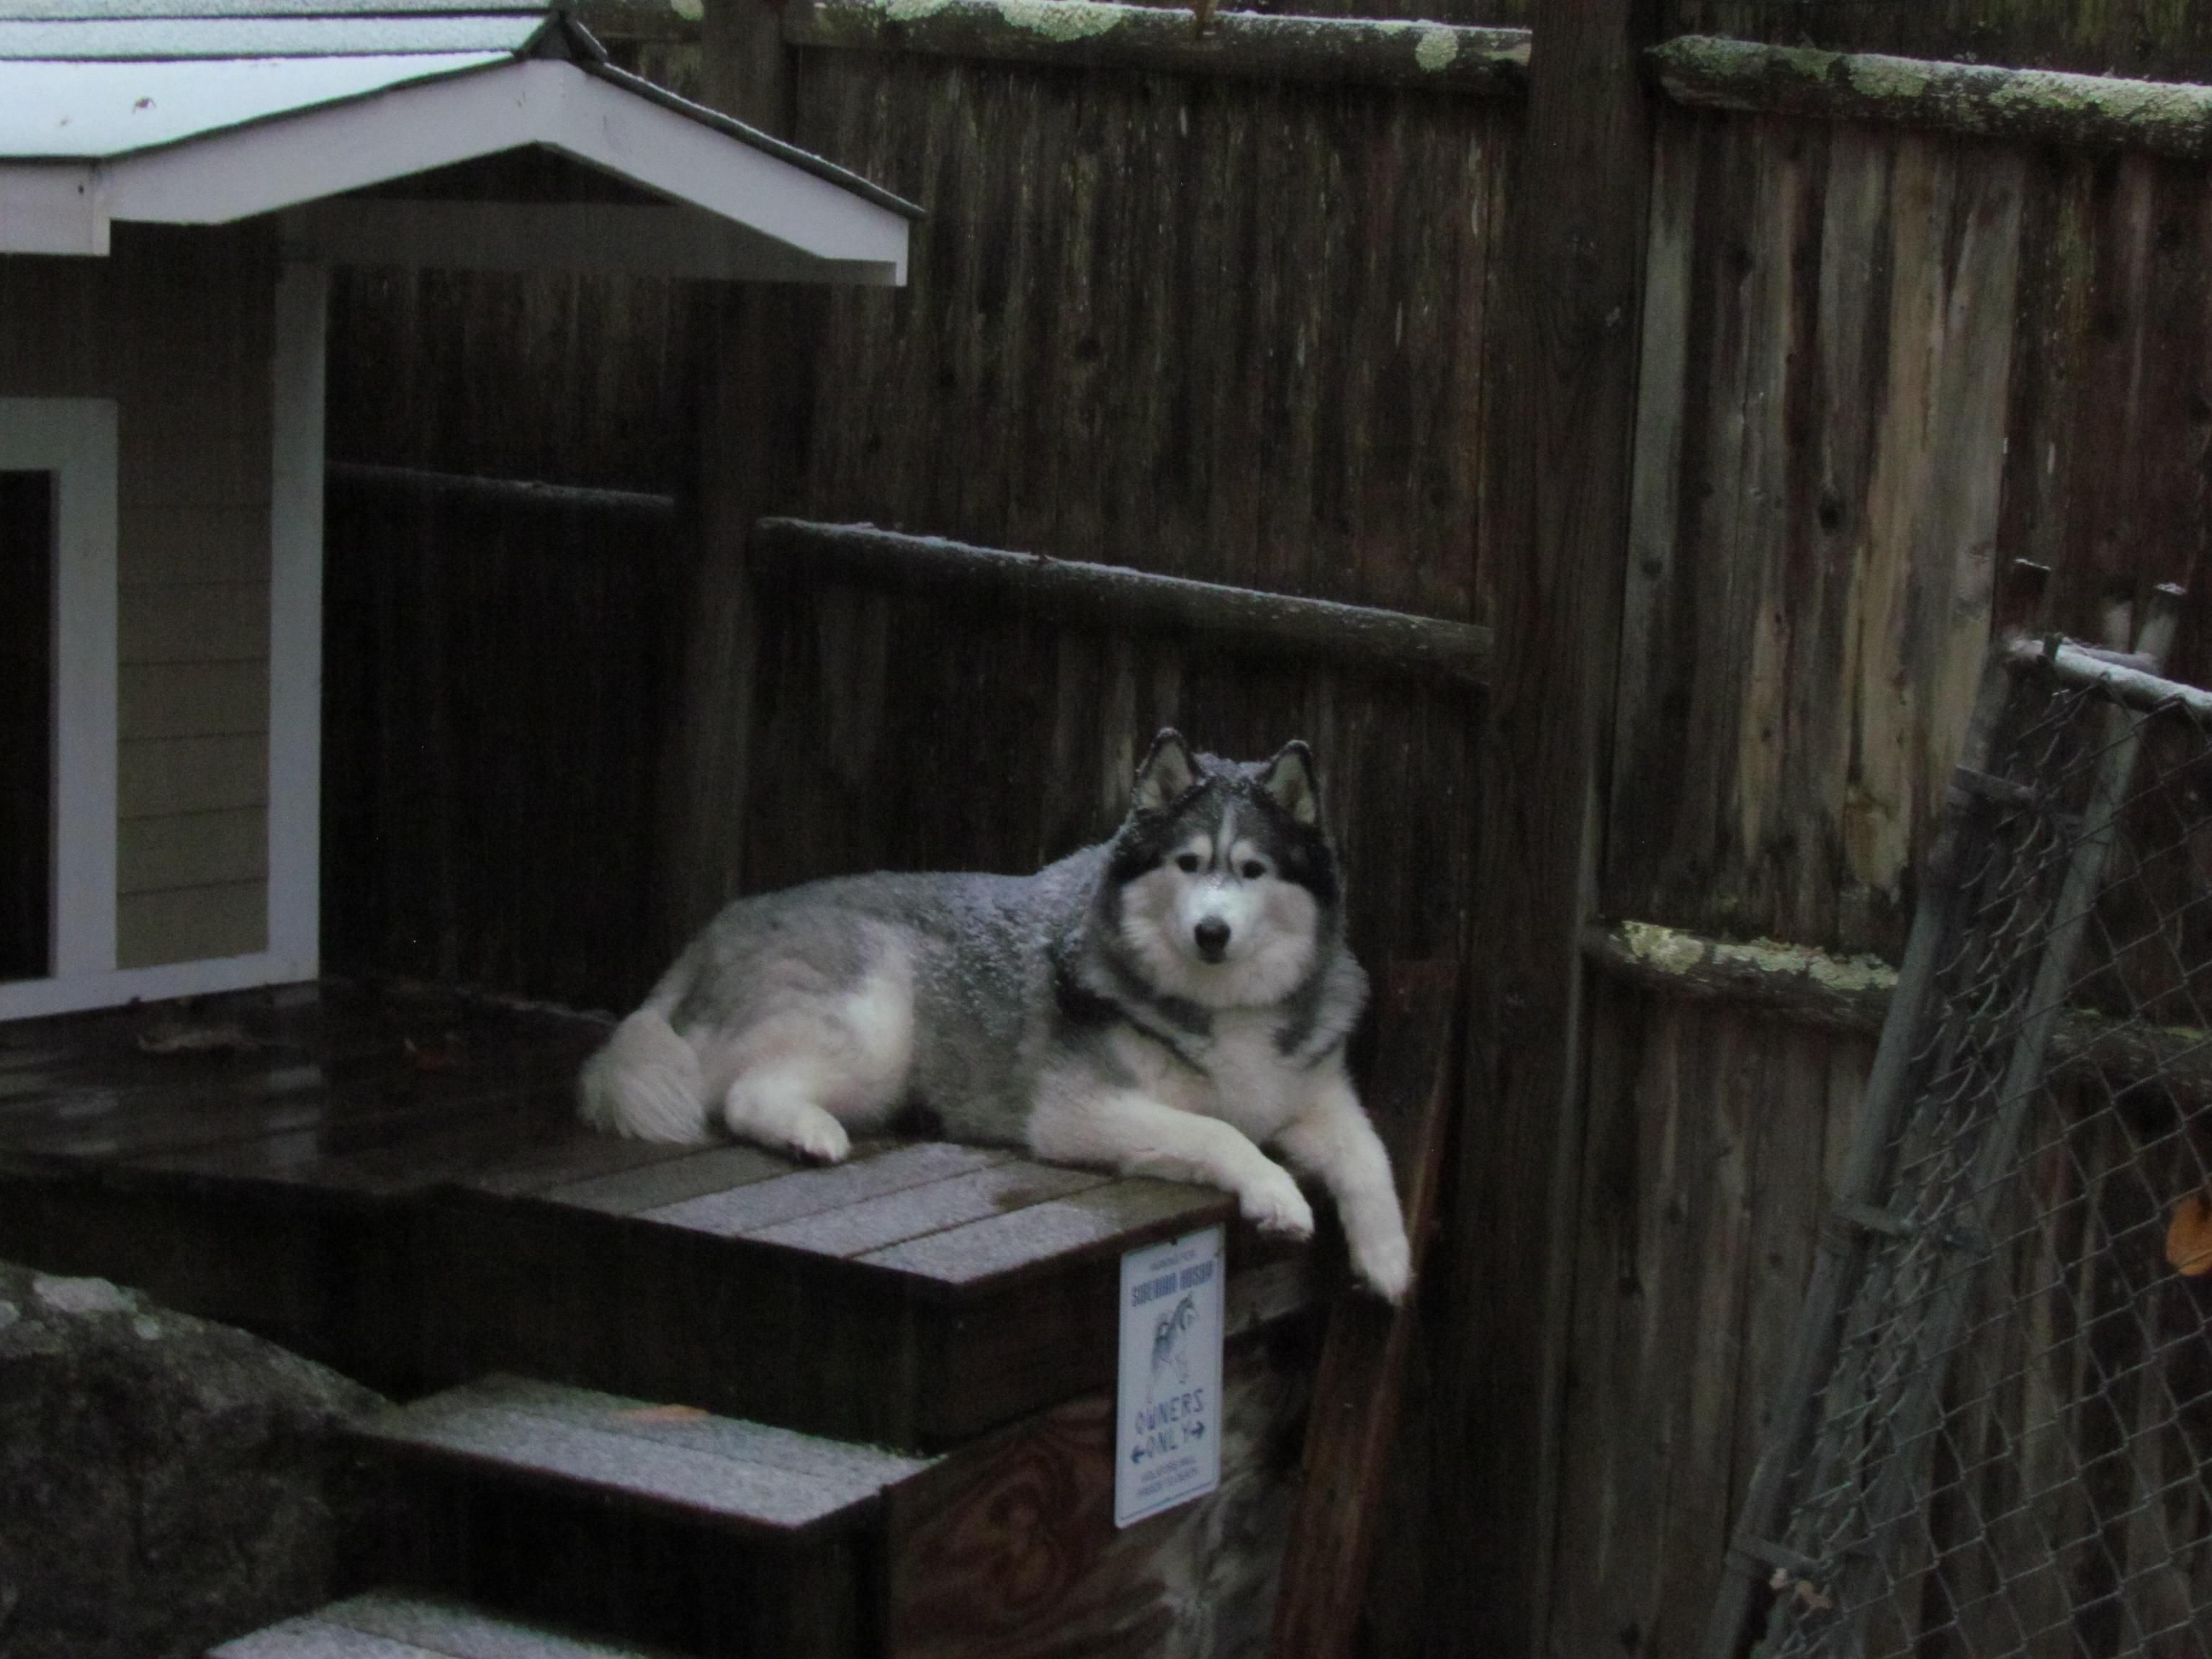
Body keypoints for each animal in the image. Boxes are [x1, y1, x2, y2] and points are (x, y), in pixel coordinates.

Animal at [584, 734, 1416, 1309]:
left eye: (1250, 870)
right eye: (1187, 864)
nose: (1212, 932)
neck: (1217, 1002)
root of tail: (715, 928)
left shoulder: (1315, 1096)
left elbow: (1371, 1156)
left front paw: (1388, 1257)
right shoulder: (1080, 1112)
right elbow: (1221, 1132)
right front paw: (1277, 1196)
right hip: (878, 1020)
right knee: (743, 1095)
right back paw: (809, 1132)